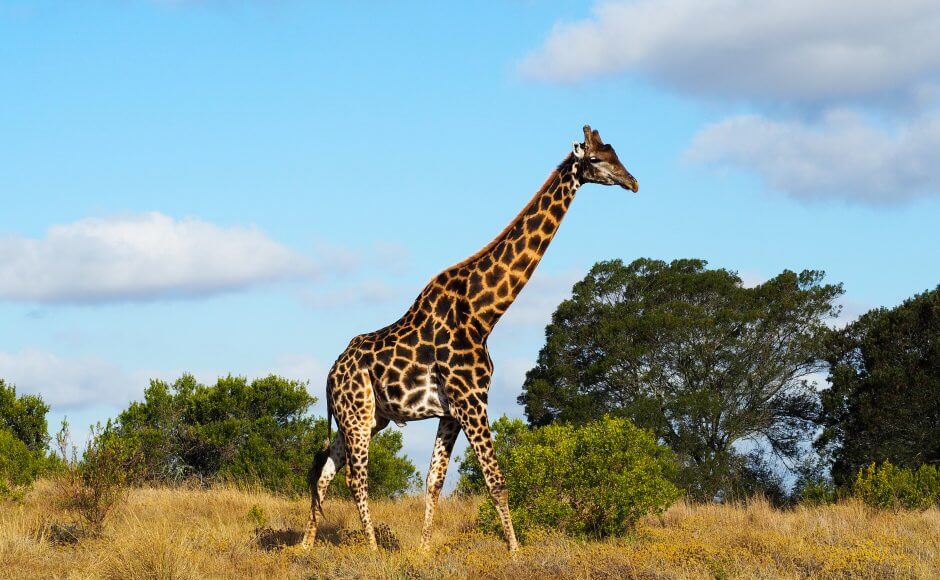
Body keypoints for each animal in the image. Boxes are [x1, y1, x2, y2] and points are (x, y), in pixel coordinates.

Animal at [302, 124, 640, 552]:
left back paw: (305, 545)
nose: (633, 182)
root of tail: (330, 373)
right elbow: (497, 483)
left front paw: (424, 550)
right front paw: (515, 551)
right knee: (355, 477)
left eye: (616, 153)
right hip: (357, 413)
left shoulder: (451, 411)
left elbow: (434, 482)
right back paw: (373, 549)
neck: (483, 313)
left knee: (325, 468)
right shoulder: (472, 400)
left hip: (369, 417)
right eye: (596, 159)